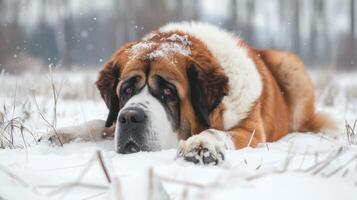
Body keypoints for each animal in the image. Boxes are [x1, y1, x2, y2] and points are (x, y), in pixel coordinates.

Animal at [45, 22, 334, 166]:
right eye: (126, 90)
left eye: (168, 91)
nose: (130, 117)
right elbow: (102, 124)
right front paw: (62, 134)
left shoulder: (250, 129)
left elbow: (217, 132)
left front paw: (201, 145)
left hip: (291, 67)